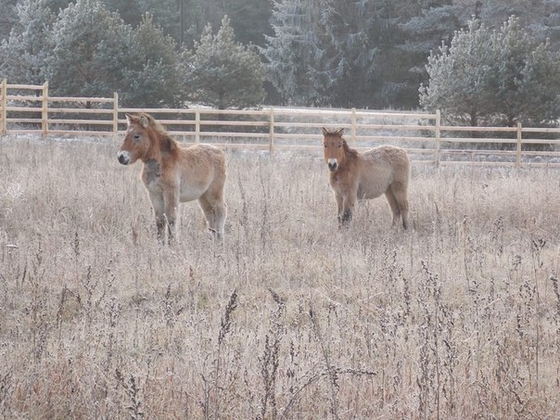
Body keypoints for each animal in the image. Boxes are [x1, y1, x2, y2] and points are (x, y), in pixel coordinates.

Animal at [117, 112, 226, 243]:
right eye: (125, 134)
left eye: (136, 136)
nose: (121, 157)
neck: (161, 162)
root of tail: (218, 150)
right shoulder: (154, 194)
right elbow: (160, 220)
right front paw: (160, 243)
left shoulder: (170, 192)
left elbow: (171, 219)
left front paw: (172, 243)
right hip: (203, 195)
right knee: (209, 213)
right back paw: (211, 239)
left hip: (214, 192)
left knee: (221, 211)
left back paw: (220, 239)